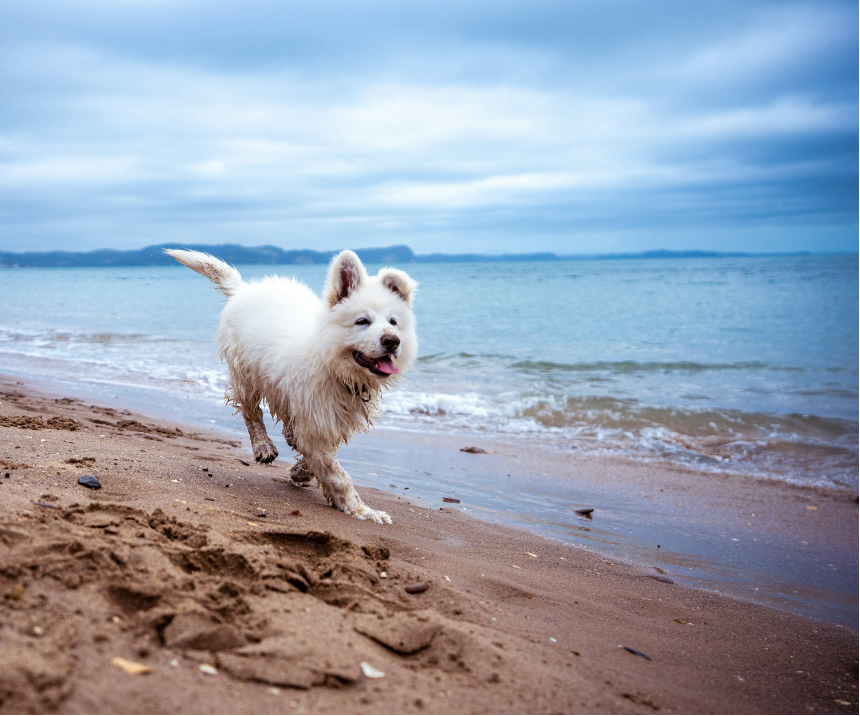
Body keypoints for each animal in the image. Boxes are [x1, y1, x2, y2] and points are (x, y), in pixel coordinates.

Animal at [166, 249, 418, 524]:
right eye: (362, 321)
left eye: (393, 322)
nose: (392, 341)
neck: (330, 361)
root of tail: (244, 288)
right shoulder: (315, 419)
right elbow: (337, 474)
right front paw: (363, 511)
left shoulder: (325, 418)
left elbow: (318, 457)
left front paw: (300, 471)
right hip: (245, 373)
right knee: (251, 412)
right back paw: (263, 445)